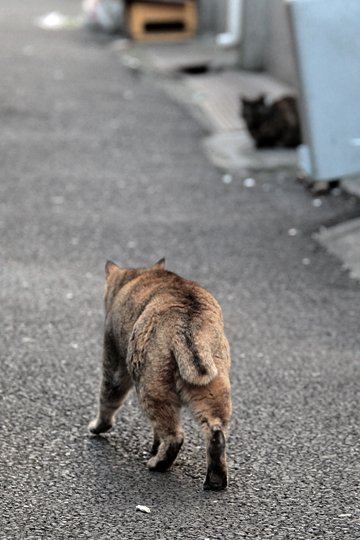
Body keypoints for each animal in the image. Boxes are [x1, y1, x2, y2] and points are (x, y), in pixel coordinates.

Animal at [88, 258, 232, 490]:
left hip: (151, 385)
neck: (138, 276)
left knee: (174, 435)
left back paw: (158, 463)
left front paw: (98, 426)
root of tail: (187, 321)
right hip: (211, 386)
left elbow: (108, 398)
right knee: (215, 431)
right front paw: (155, 446)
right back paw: (216, 479)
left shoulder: (113, 357)